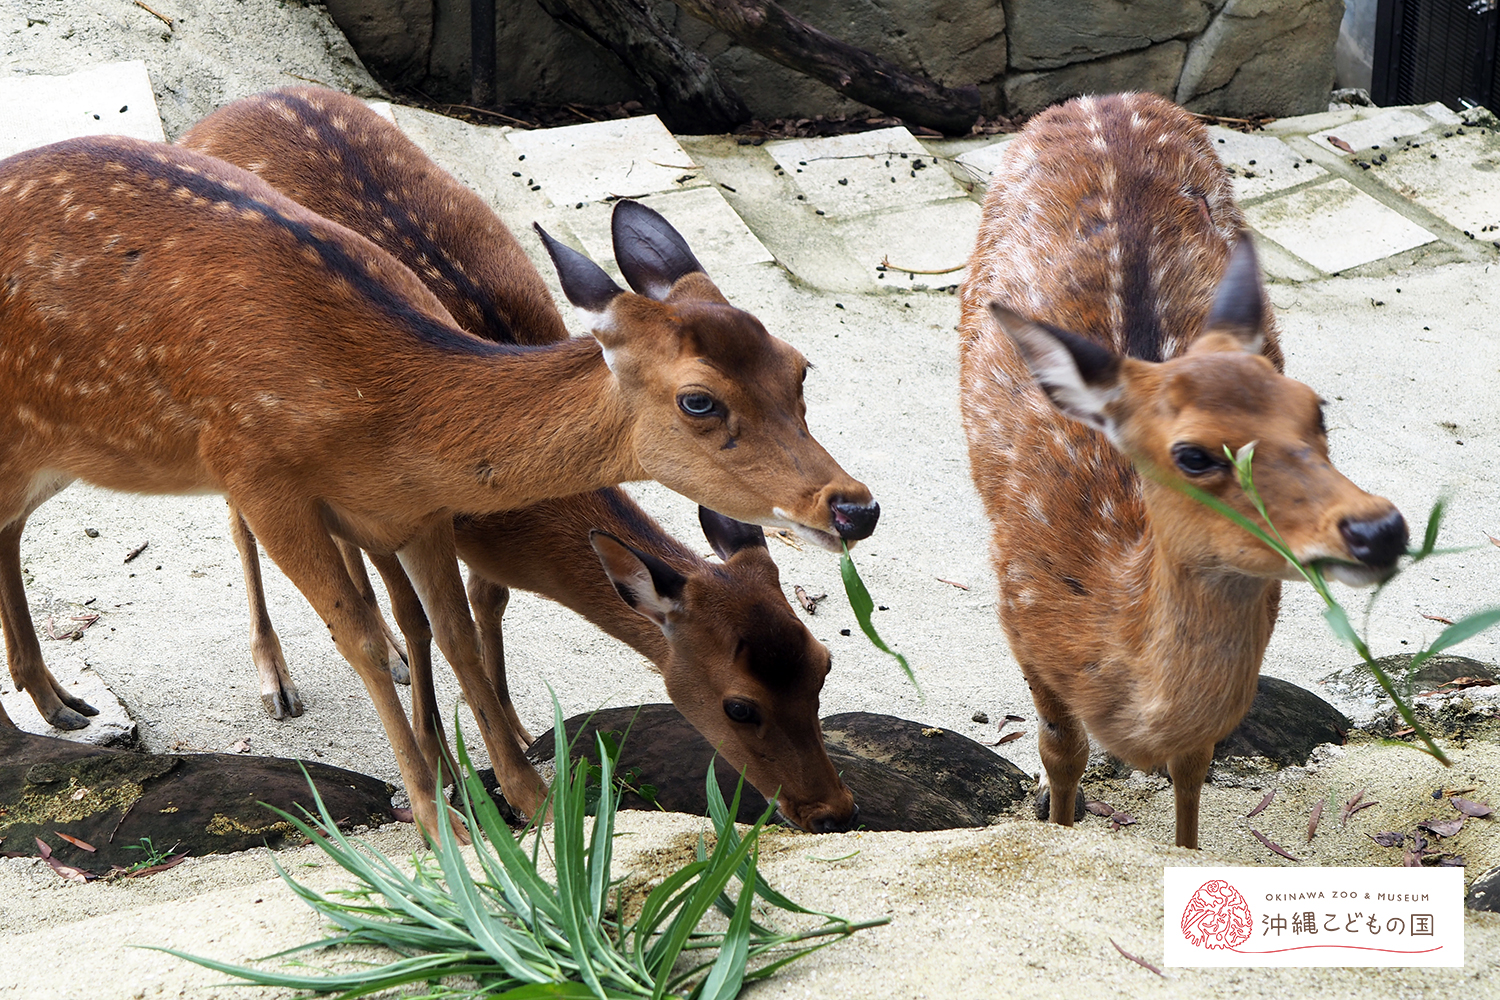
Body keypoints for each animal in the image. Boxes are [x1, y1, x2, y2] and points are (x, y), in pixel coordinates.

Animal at [0, 122, 876, 845]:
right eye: (700, 399)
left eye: (799, 367)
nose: (854, 507)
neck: (386, 412)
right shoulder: (260, 473)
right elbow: (356, 632)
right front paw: (436, 818)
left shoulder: (416, 512)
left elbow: (449, 629)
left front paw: (528, 799)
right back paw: (252, 683)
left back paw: (57, 701)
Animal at [960, 93, 1404, 851]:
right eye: (1194, 454)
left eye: (1315, 410)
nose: (1380, 529)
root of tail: (1103, 98)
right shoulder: (1020, 614)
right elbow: (1061, 751)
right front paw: (1059, 826)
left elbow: (1194, 765)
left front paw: (1187, 848)